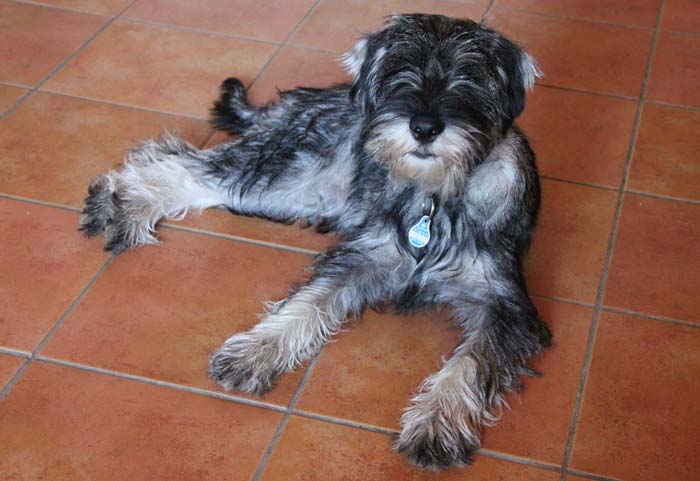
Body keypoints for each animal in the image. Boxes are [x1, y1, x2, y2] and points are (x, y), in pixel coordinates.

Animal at [79, 13, 551, 470]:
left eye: (470, 77)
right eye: (399, 72)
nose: (424, 127)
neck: (434, 195)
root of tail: (308, 98)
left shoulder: (504, 306)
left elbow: (469, 364)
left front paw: (436, 425)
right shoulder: (361, 257)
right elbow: (308, 303)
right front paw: (254, 353)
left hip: (293, 194)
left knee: (191, 168)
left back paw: (122, 204)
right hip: (286, 173)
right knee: (183, 160)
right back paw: (118, 203)